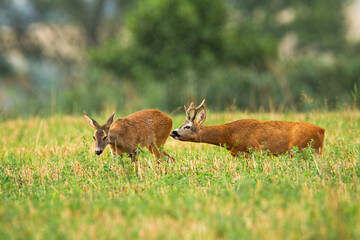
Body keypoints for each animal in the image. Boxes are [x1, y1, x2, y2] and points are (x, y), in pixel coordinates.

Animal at [170, 99, 324, 156]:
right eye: (182, 124)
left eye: (188, 126)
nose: (174, 132)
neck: (230, 136)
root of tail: (322, 130)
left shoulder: (255, 149)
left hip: (298, 148)